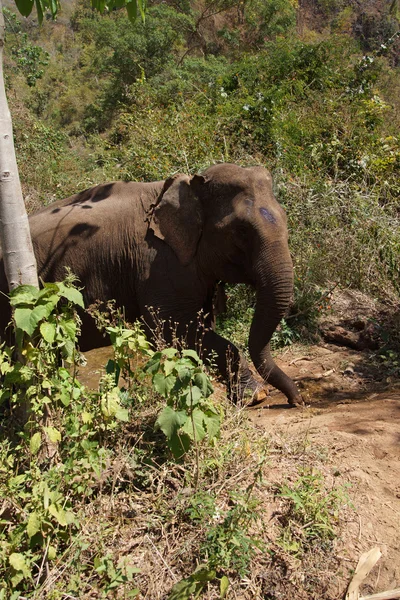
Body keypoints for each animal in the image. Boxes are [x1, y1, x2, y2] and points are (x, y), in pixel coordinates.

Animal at [0, 164, 302, 406]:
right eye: (241, 231)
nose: (296, 400)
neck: (188, 185)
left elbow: (201, 325)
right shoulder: (158, 263)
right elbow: (174, 327)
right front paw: (255, 395)